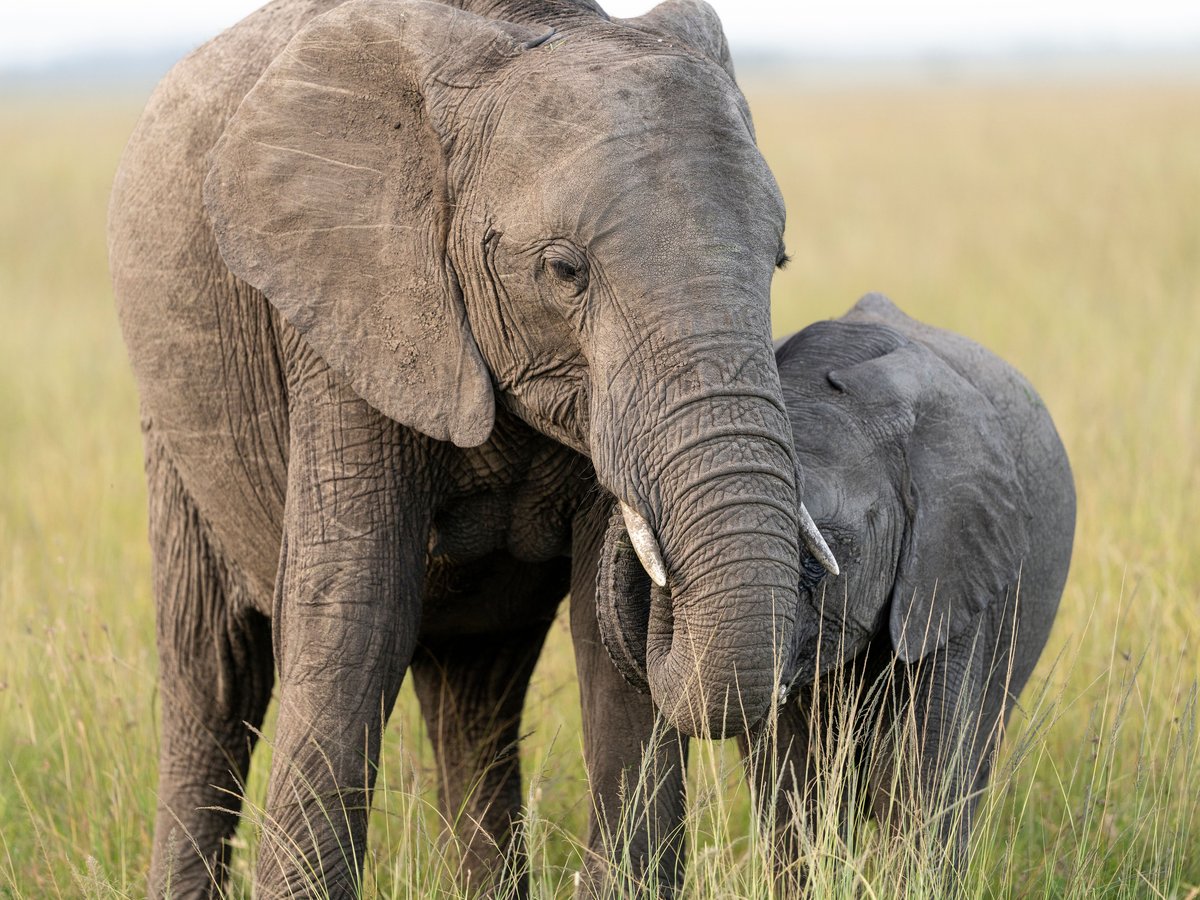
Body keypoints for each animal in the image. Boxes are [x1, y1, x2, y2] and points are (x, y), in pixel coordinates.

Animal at [107, 0, 838, 896]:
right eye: (564, 270)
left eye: (778, 262)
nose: (644, 531)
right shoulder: (346, 313)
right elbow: (355, 623)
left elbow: (610, 664)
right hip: (173, 428)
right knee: (214, 677)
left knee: (477, 693)